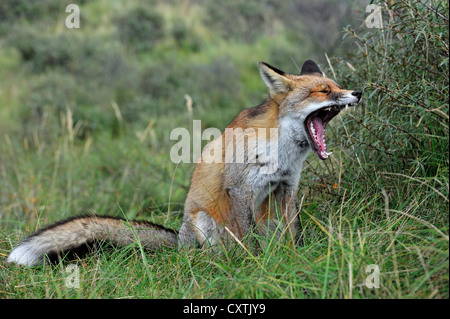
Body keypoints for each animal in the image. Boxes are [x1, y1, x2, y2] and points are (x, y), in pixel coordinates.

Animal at [7, 58, 360, 266]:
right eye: (323, 90)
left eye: (338, 86)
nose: (356, 92)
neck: (283, 150)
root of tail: (178, 241)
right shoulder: (239, 187)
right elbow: (247, 236)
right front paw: (254, 263)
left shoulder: (286, 187)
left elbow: (294, 231)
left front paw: (296, 256)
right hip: (203, 221)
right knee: (211, 252)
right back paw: (217, 261)